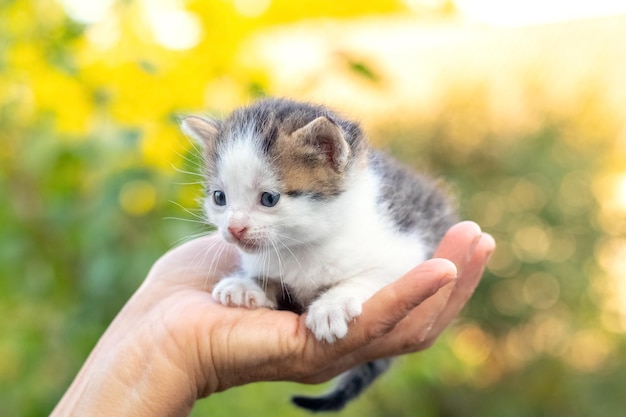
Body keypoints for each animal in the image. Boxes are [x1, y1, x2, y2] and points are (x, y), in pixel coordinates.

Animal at [178, 98, 456, 412]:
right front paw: (245, 285)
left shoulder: (408, 247)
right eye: (219, 197)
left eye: (269, 198)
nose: (234, 229)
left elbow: (371, 275)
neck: (301, 247)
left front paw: (332, 306)